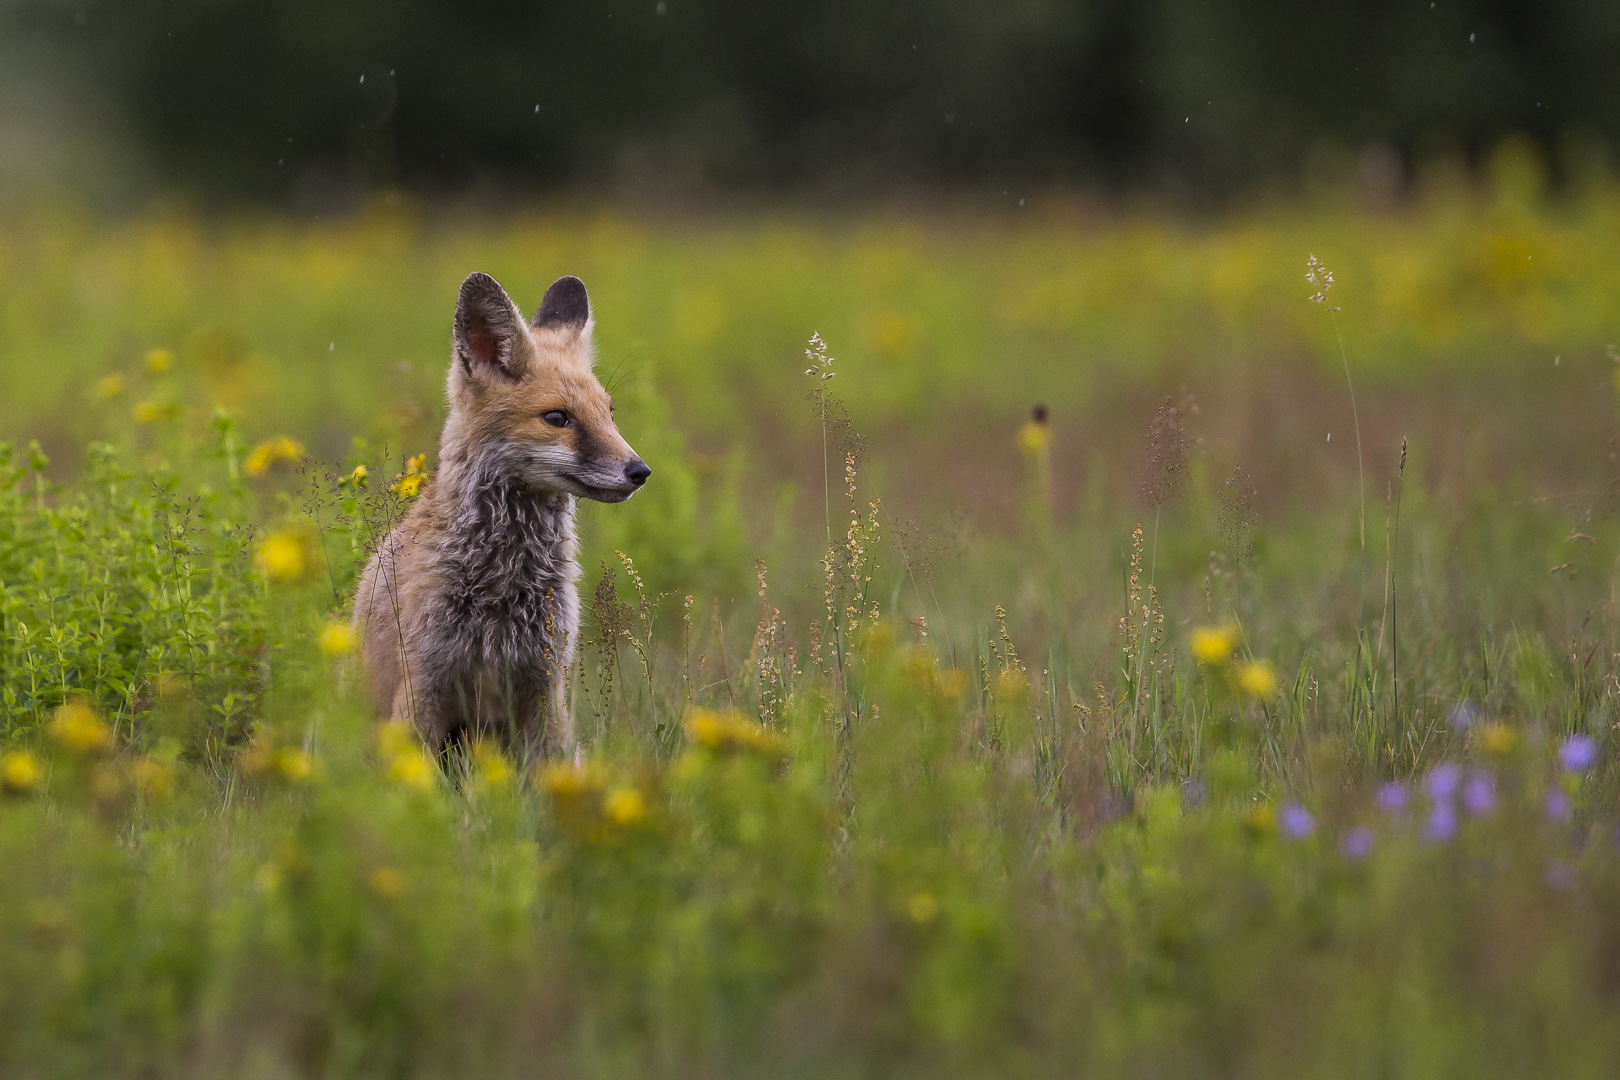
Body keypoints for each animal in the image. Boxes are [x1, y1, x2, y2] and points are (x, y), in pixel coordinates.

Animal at [358, 275, 648, 757]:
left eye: (609, 414)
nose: (640, 472)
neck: (504, 581)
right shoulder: (423, 681)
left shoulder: (545, 683)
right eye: (558, 418)